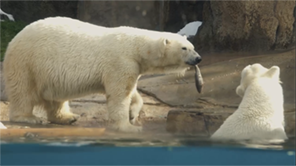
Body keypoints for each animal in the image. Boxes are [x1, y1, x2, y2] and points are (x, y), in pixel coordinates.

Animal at [2, 16, 201, 132]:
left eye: (192, 46)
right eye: (184, 48)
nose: (198, 58)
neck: (136, 47)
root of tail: (14, 39)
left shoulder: (132, 65)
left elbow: (131, 91)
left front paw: (133, 113)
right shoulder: (120, 61)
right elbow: (119, 94)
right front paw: (127, 127)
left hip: (48, 73)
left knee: (55, 97)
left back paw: (68, 117)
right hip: (28, 62)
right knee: (23, 91)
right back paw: (30, 118)